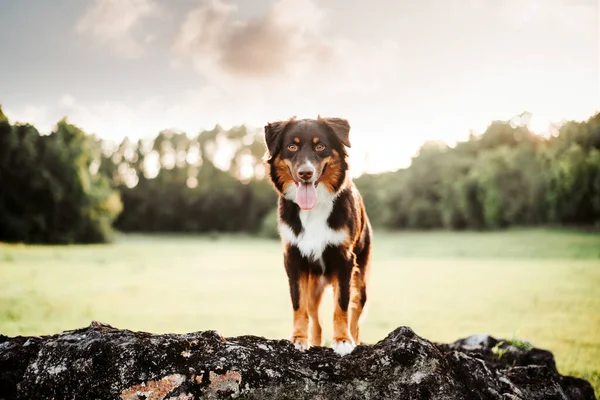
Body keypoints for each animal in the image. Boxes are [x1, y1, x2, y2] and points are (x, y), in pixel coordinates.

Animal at [264, 115, 372, 356]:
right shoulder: (294, 258)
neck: (313, 209)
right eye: (292, 147)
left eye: (320, 146)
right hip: (314, 285)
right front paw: (297, 339)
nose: (305, 173)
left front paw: (342, 340)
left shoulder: (344, 260)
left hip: (360, 281)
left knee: (355, 315)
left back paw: (353, 338)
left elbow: (341, 305)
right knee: (315, 319)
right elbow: (299, 305)